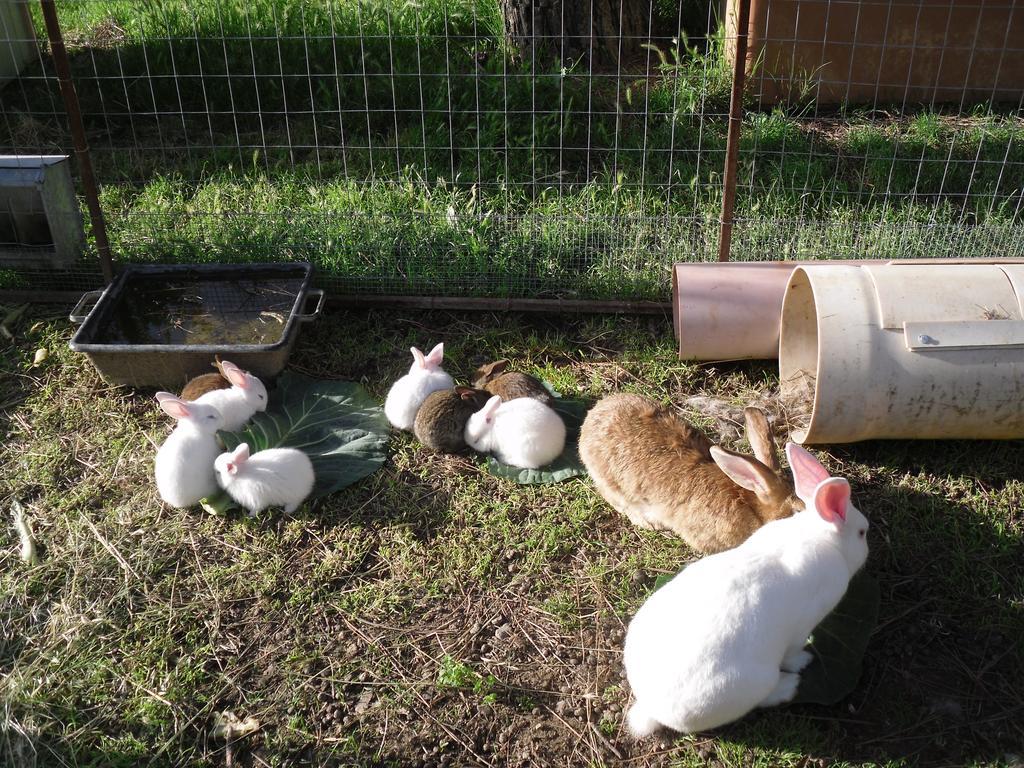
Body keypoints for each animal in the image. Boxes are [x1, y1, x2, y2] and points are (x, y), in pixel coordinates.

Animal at [618, 444, 868, 741]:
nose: (868, 541)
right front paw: (804, 662)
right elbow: (794, 653)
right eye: (862, 533)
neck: (820, 534)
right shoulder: (801, 628)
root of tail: (652, 709)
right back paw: (790, 685)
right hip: (757, 681)